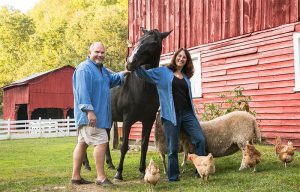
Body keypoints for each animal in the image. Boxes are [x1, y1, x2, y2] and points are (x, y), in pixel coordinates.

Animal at [111, 27, 171, 181]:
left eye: (154, 43)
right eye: (139, 40)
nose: (130, 62)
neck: (141, 88)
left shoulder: (148, 120)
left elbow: (144, 145)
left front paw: (142, 171)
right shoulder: (127, 120)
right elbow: (124, 146)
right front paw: (119, 173)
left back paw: (109, 164)